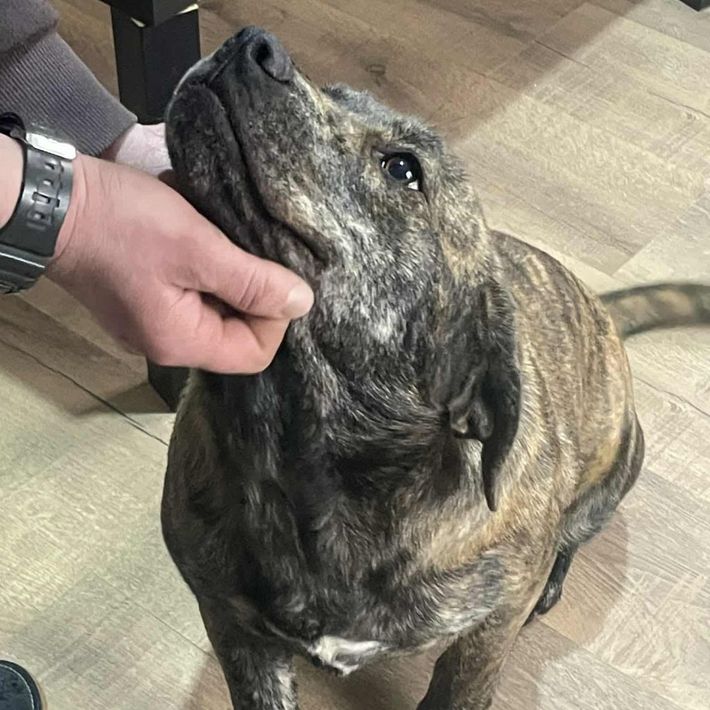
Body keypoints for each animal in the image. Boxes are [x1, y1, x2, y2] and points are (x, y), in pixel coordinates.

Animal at [161, 27, 710, 710]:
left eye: (403, 169)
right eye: (333, 92)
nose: (248, 42)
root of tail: (600, 310)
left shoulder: (485, 635)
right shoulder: (235, 631)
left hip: (611, 477)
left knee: (570, 537)